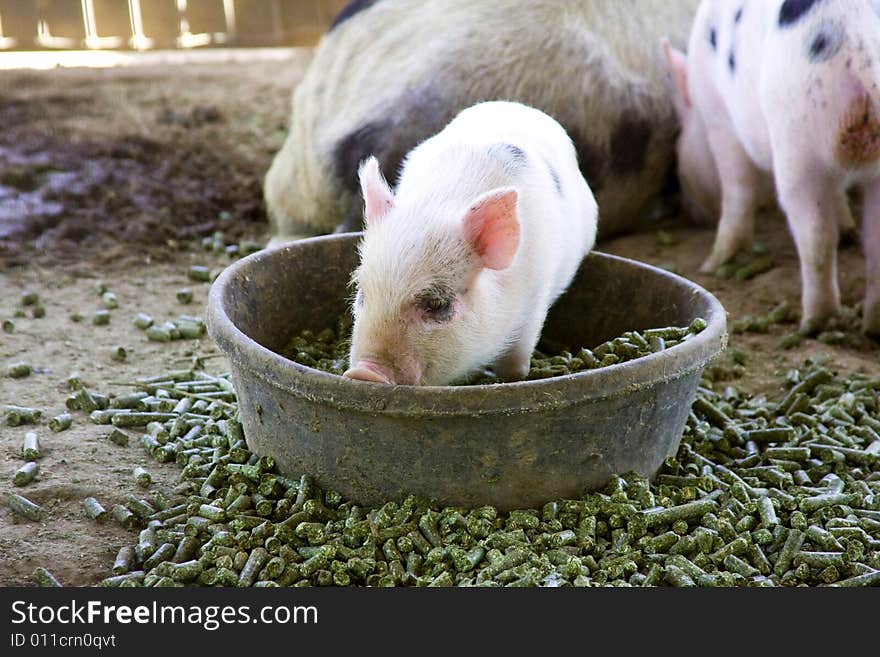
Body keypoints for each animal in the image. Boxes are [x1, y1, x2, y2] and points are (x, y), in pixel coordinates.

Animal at [342, 101, 600, 384]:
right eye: (362, 293)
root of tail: (514, 105)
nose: (364, 372)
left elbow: (517, 357)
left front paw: (512, 378)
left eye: (437, 304)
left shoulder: (535, 298)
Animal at [664, 0, 880, 336]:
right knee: (874, 242)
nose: (689, 212)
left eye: (678, 146)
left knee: (816, 236)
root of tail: (862, 47)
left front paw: (712, 264)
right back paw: (871, 326)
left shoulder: (720, 117)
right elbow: (839, 198)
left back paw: (814, 323)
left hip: (797, 140)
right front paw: (848, 227)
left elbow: (737, 187)